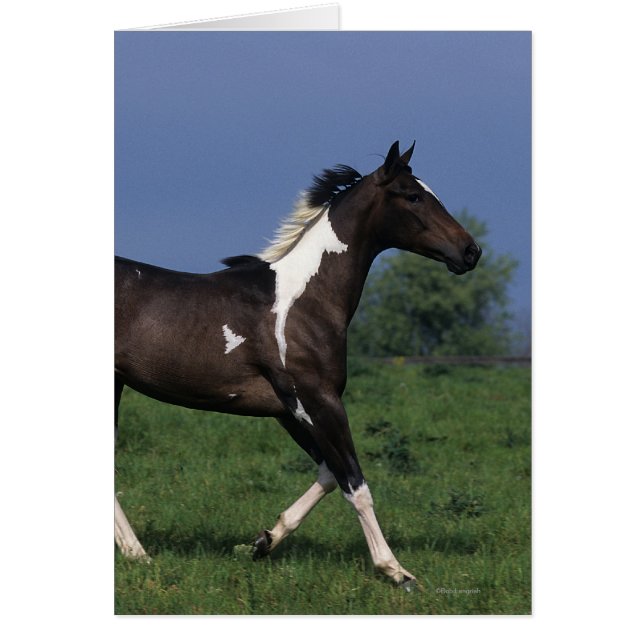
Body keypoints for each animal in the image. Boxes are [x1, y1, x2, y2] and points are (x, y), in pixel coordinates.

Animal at [115, 140, 482, 588]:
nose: (470, 251)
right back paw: (139, 555)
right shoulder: (318, 400)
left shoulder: (287, 410)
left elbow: (328, 474)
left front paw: (262, 541)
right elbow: (355, 482)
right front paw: (396, 570)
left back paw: (137, 553)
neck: (304, 301)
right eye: (412, 195)